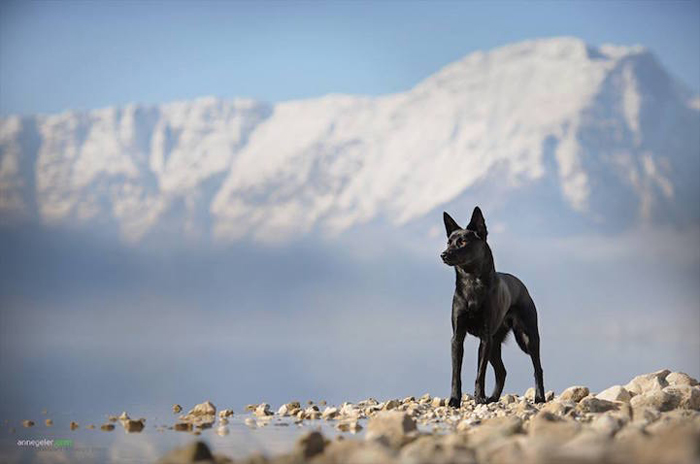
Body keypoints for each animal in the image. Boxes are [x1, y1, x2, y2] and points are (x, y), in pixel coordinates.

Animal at [440, 208, 544, 406]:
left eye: (462, 241)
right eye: (448, 241)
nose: (443, 254)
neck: (471, 283)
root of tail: (521, 286)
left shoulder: (485, 338)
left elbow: (480, 374)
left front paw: (478, 398)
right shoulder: (457, 338)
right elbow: (456, 374)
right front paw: (455, 400)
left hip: (528, 337)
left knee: (537, 368)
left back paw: (539, 397)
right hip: (495, 345)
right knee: (502, 372)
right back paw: (493, 398)